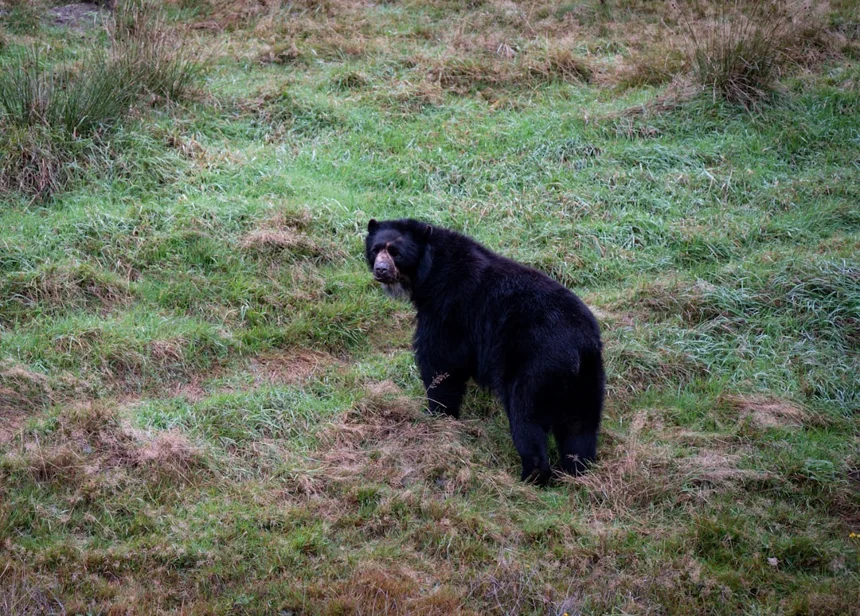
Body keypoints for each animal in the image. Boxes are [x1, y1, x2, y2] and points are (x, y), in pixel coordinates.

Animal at [365, 218, 605, 485]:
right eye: (375, 250)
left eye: (396, 253)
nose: (381, 270)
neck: (430, 271)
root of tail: (577, 349)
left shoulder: (449, 308)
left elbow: (441, 361)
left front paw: (436, 412)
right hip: (587, 380)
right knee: (580, 428)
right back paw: (577, 472)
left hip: (535, 368)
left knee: (526, 420)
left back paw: (531, 476)